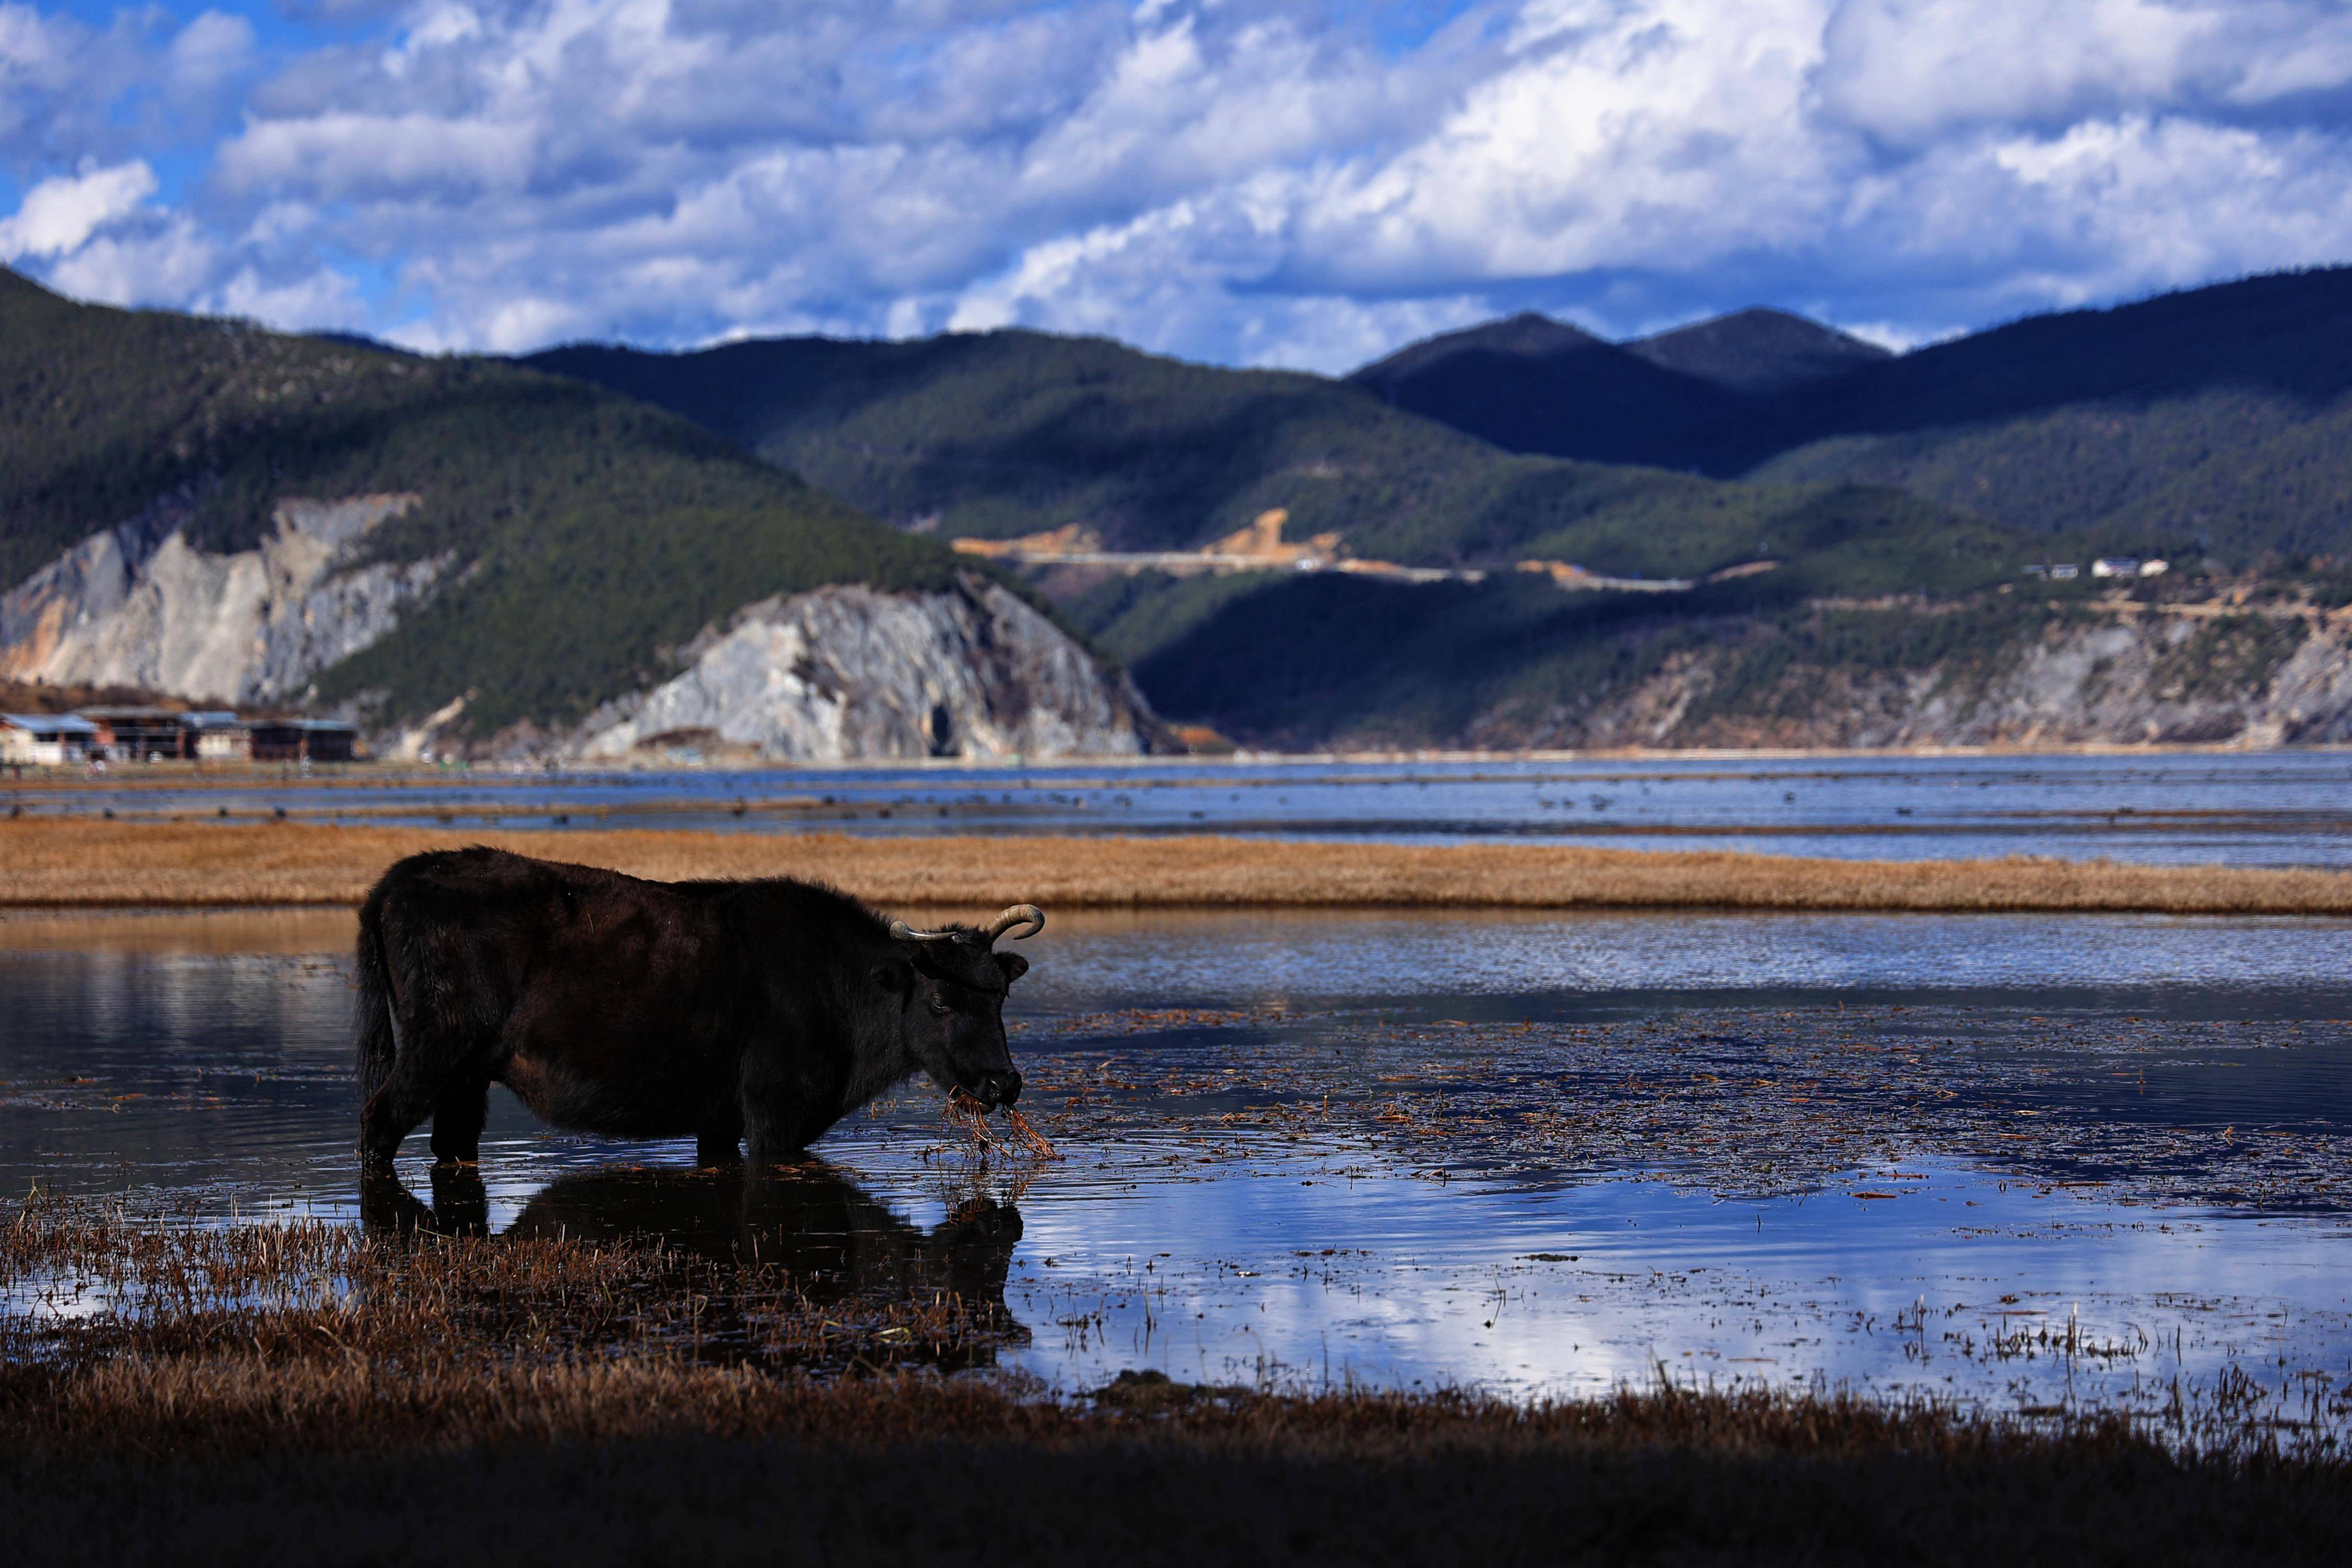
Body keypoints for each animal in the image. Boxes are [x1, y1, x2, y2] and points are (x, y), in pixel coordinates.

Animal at [350, 851, 1039, 1170]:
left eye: (1001, 996)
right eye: (942, 999)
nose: (1003, 1083)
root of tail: (397, 880)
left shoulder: (719, 1122)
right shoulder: (776, 1118)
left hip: (465, 1078)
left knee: (451, 1143)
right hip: (432, 1055)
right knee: (379, 1122)